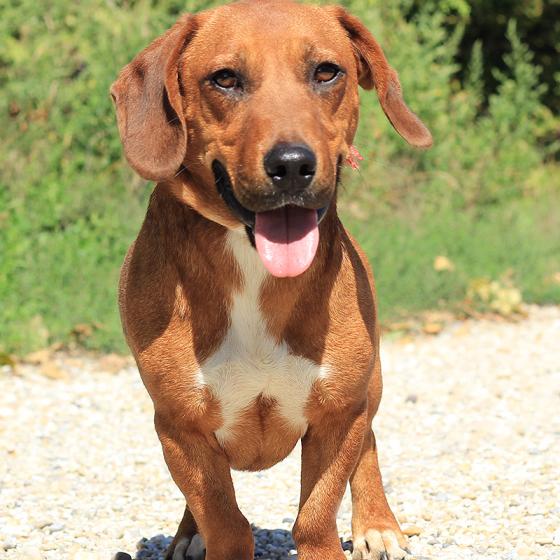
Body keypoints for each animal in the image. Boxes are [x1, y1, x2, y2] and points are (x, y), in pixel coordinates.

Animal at [111, 1, 432, 558]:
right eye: (225, 78)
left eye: (326, 72)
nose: (292, 164)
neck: (254, 266)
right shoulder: (180, 428)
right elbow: (224, 520)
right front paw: (205, 533)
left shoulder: (337, 416)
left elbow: (316, 516)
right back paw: (188, 535)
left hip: (370, 385)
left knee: (369, 447)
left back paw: (378, 525)